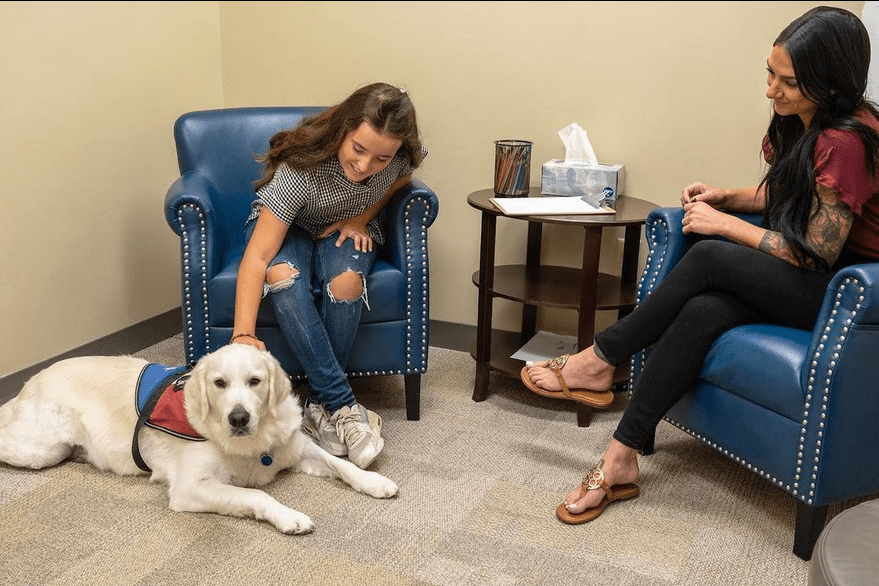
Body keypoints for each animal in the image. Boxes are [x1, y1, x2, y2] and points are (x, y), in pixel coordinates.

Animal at [0, 342, 398, 532]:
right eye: (219, 383)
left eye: (255, 381)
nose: (238, 418)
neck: (252, 442)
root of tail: (30, 381)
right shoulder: (190, 487)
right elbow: (254, 494)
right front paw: (289, 516)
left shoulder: (296, 446)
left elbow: (341, 464)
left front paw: (374, 482)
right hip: (43, 447)